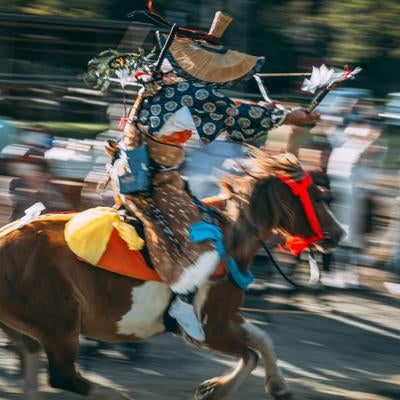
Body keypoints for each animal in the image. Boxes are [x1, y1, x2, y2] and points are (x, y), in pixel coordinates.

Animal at [0, 149, 344, 400]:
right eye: (316, 195)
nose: (339, 233)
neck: (229, 238)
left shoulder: (224, 315)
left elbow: (262, 339)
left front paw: (275, 385)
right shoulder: (208, 329)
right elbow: (250, 353)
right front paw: (217, 388)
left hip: (25, 328)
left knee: (32, 362)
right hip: (59, 324)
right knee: (64, 376)